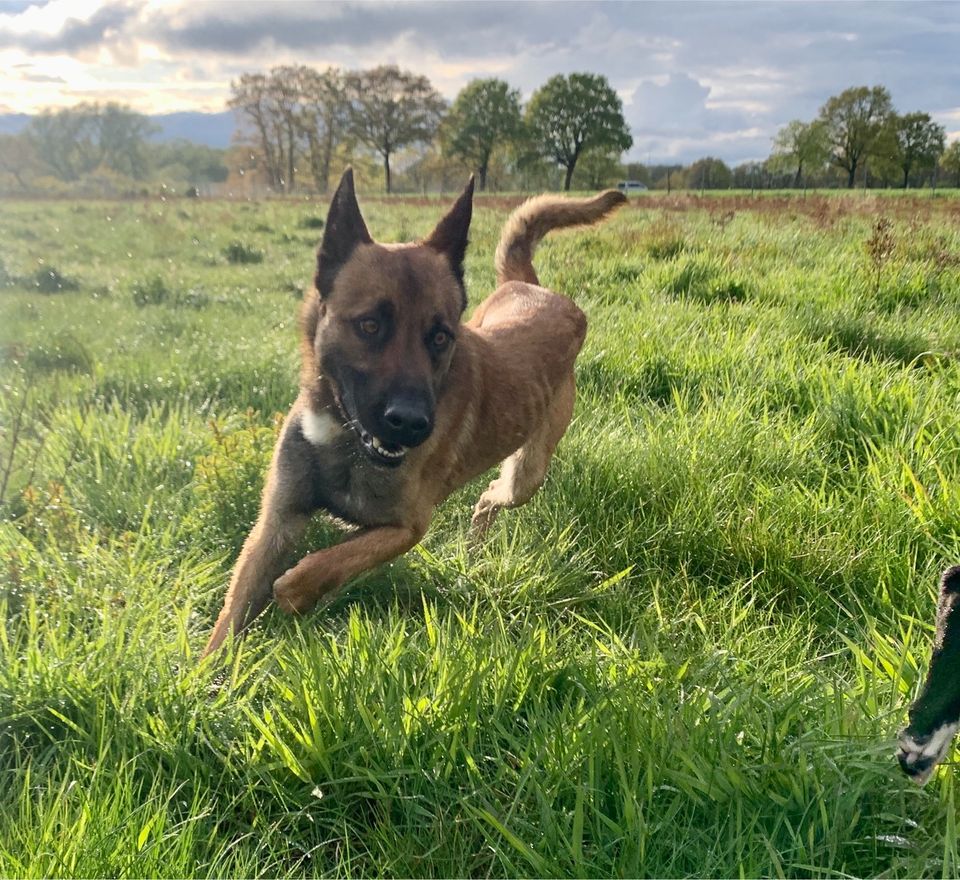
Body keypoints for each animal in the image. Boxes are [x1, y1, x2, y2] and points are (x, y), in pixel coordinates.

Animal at [202, 168, 628, 656]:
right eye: (370, 325)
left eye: (440, 336)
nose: (410, 423)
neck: (343, 436)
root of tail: (538, 289)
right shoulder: (275, 524)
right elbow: (230, 619)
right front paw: (206, 674)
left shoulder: (406, 527)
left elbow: (312, 569)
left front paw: (298, 596)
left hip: (527, 475)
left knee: (489, 496)